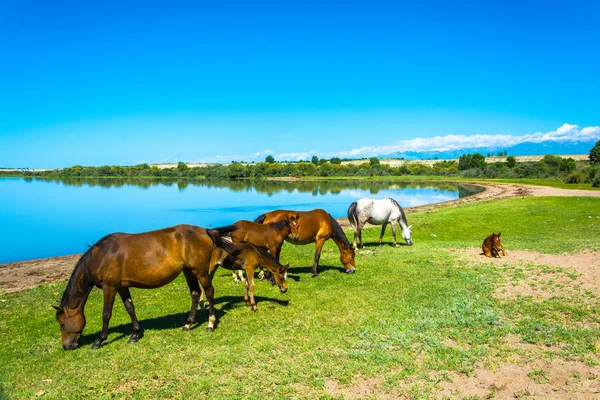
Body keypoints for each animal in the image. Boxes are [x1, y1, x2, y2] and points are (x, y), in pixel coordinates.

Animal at [53, 225, 234, 350]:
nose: (66, 346)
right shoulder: (122, 287)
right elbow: (130, 308)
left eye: (62, 324)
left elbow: (106, 314)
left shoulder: (109, 287)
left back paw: (210, 324)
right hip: (188, 271)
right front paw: (134, 334)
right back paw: (187, 324)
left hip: (200, 272)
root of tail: (205, 231)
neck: (101, 256)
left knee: (209, 293)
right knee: (195, 294)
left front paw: (99, 340)